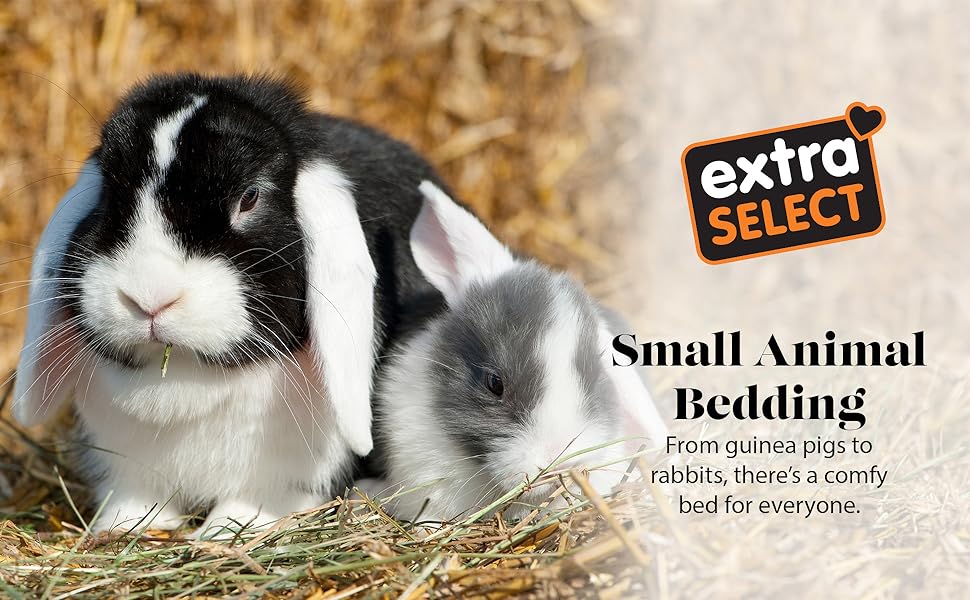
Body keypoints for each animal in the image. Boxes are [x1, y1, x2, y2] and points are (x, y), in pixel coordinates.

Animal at [13, 74, 448, 536]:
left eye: (250, 197)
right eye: (110, 195)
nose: (149, 296)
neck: (184, 379)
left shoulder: (285, 473)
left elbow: (252, 504)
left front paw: (224, 530)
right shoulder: (126, 465)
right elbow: (134, 501)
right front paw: (126, 528)